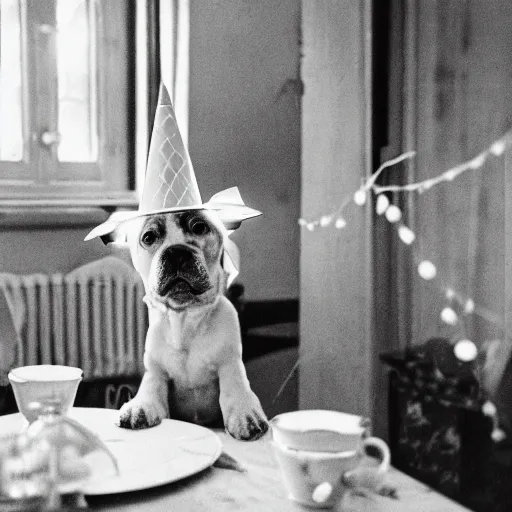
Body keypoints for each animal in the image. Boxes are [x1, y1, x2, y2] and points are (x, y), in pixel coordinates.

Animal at [116, 208, 268, 440]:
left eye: (199, 227)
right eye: (149, 237)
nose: (175, 251)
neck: (185, 318)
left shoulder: (230, 364)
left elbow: (235, 388)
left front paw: (245, 413)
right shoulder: (156, 372)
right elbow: (150, 388)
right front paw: (139, 406)